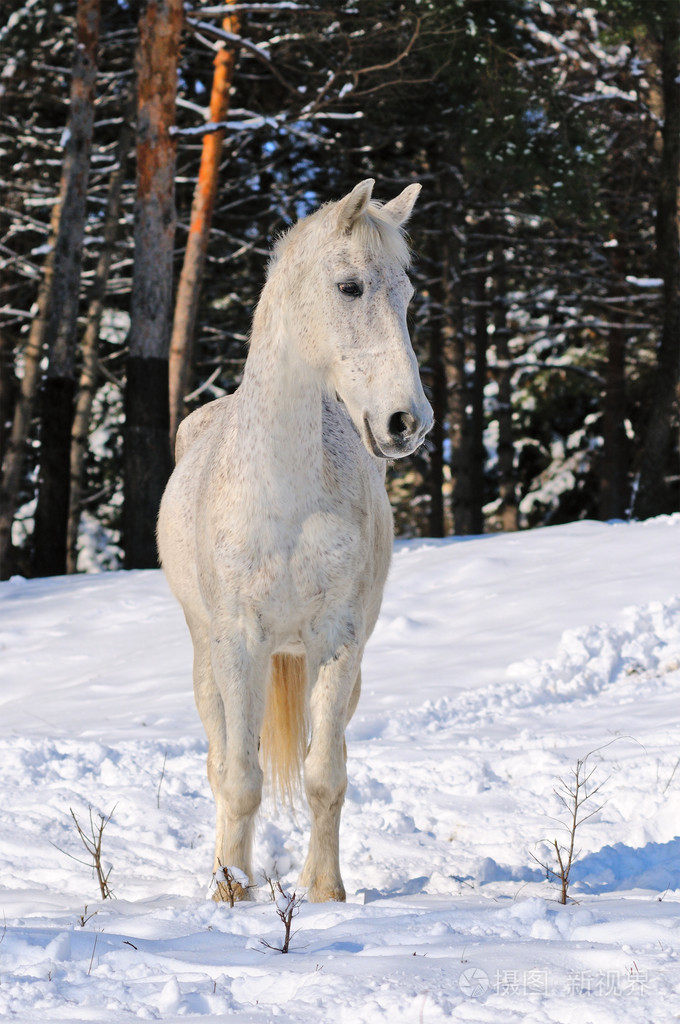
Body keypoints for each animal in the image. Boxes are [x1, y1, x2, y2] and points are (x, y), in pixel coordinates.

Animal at [157, 180, 430, 901]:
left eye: (407, 294)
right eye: (349, 286)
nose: (407, 422)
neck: (281, 495)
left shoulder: (337, 641)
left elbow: (323, 775)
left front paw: (326, 892)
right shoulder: (238, 642)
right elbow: (240, 780)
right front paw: (230, 891)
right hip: (206, 659)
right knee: (221, 762)